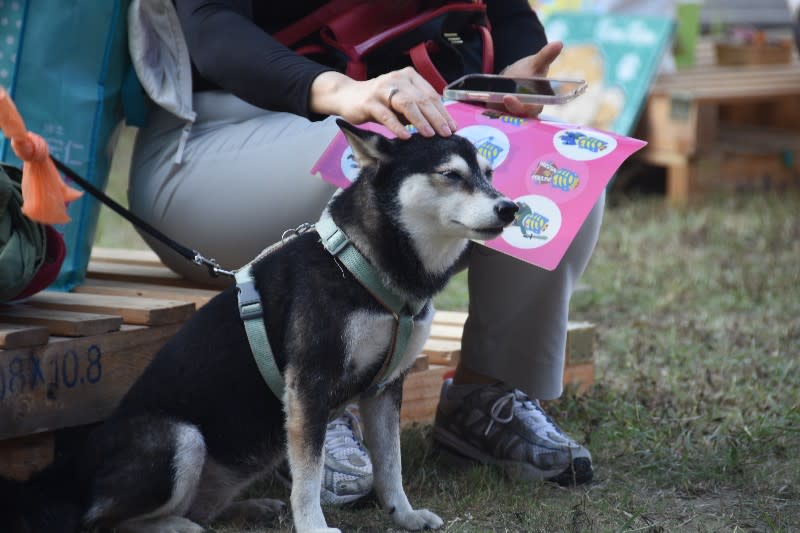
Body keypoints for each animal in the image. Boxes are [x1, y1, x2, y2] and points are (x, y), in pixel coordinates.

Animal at [0, 120, 520, 532]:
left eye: (489, 174)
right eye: (450, 175)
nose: (511, 208)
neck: (362, 266)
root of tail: (71, 471)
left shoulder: (384, 387)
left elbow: (390, 465)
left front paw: (405, 515)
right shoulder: (309, 384)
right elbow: (309, 476)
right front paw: (314, 527)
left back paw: (251, 509)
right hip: (180, 438)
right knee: (100, 520)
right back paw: (177, 527)